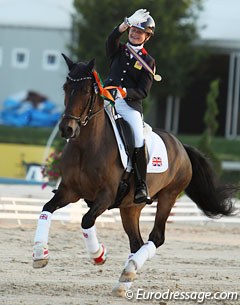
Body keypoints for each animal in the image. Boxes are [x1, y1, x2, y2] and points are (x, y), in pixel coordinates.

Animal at [32, 54, 237, 294]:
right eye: (66, 87)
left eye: (85, 91)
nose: (67, 129)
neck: (87, 145)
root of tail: (181, 146)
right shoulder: (69, 191)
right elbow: (47, 209)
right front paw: (40, 254)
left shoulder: (106, 196)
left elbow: (86, 219)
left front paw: (99, 254)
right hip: (130, 207)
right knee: (136, 242)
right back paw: (124, 280)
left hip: (168, 197)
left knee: (156, 237)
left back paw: (128, 272)